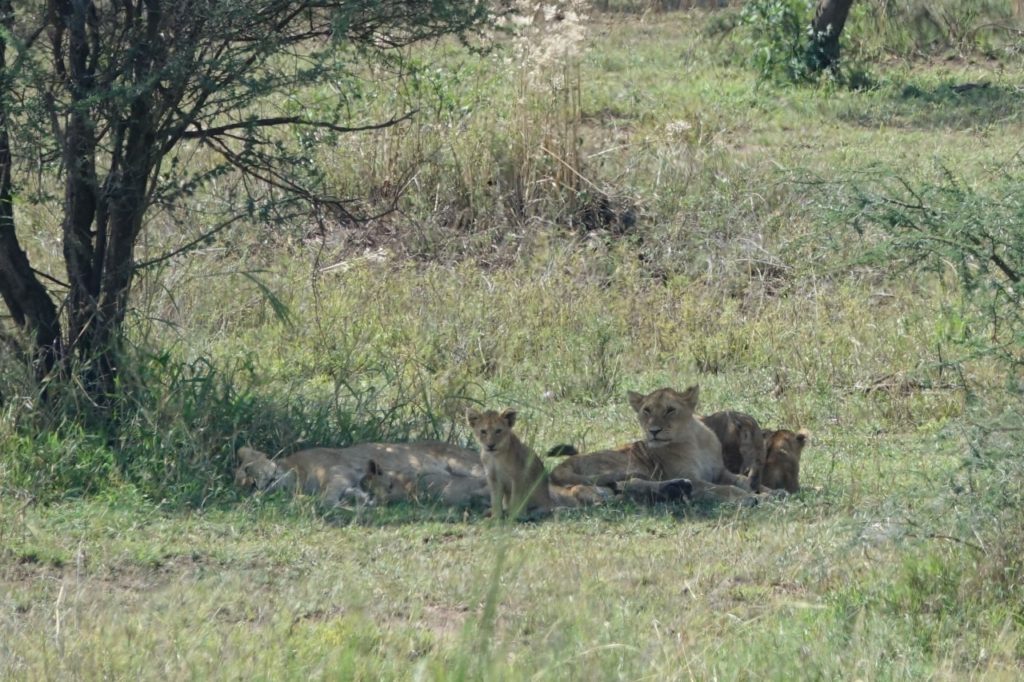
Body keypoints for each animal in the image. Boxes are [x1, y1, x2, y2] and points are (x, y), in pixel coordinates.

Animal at [552, 385, 753, 501]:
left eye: (670, 410)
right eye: (646, 410)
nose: (653, 431)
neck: (694, 442)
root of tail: (563, 464)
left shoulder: (720, 472)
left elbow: (741, 480)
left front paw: (756, 489)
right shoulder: (696, 479)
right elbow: (724, 488)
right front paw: (748, 497)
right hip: (622, 463)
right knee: (630, 482)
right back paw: (676, 488)